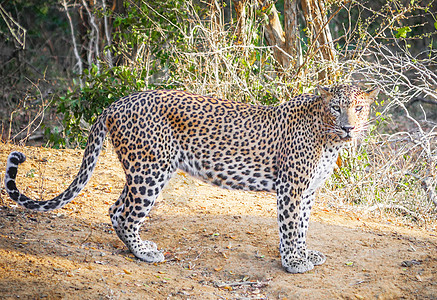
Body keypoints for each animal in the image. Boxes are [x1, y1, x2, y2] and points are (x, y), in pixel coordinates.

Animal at [3, 84, 376, 274]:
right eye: (337, 108)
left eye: (358, 108)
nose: (349, 127)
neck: (328, 138)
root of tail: (116, 103)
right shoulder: (292, 188)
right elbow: (290, 226)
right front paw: (294, 262)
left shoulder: (308, 190)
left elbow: (302, 226)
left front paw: (303, 254)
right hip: (152, 168)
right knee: (126, 214)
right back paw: (145, 254)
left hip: (140, 168)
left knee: (114, 209)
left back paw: (138, 247)